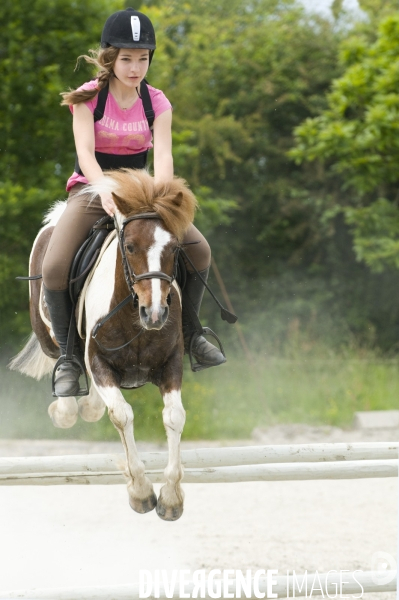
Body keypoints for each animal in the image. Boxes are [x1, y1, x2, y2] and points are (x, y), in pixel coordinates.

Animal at [11, 170, 199, 520]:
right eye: (130, 246)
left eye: (175, 248)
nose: (155, 313)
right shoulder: (99, 361)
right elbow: (122, 414)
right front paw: (141, 492)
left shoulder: (171, 364)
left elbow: (174, 417)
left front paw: (170, 498)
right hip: (49, 333)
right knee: (65, 365)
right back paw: (65, 406)